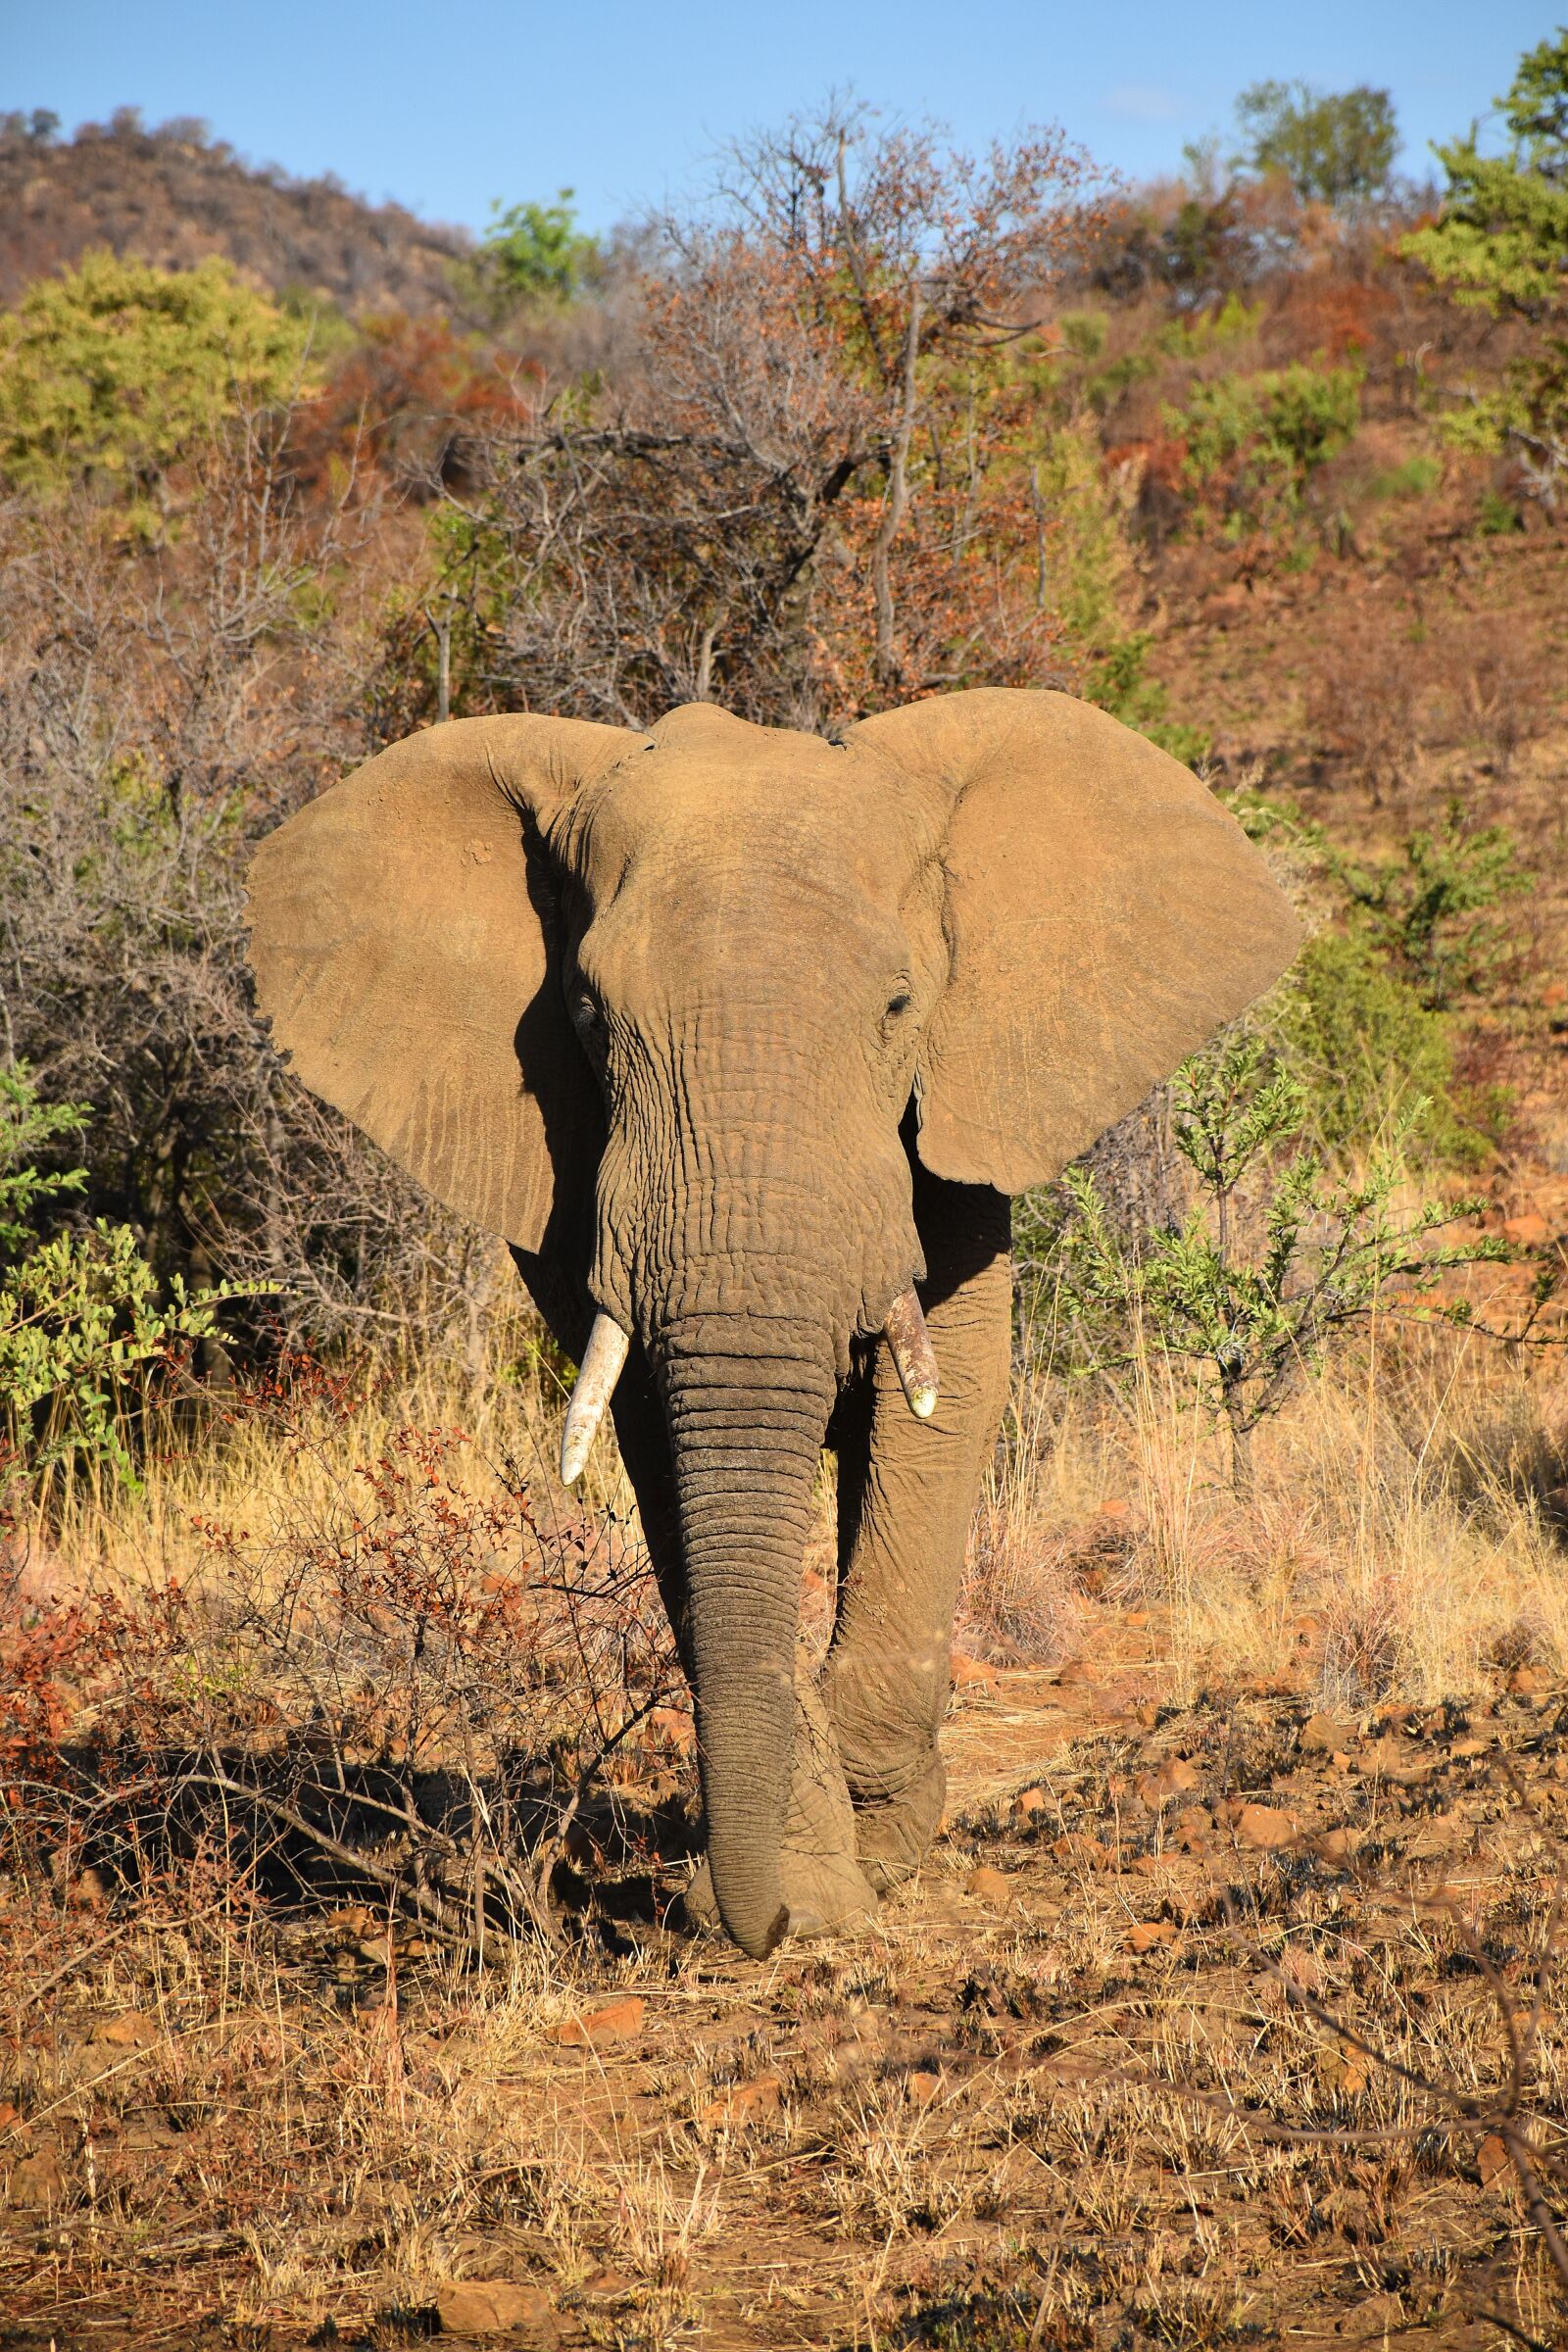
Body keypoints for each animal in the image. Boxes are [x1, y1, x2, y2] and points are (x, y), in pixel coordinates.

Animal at [246, 688, 1301, 1959]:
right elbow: (663, 1446)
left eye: (898, 1006)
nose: (756, 1927)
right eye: (589, 1017)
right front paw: (815, 1885)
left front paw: (878, 1848)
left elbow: (949, 1397)